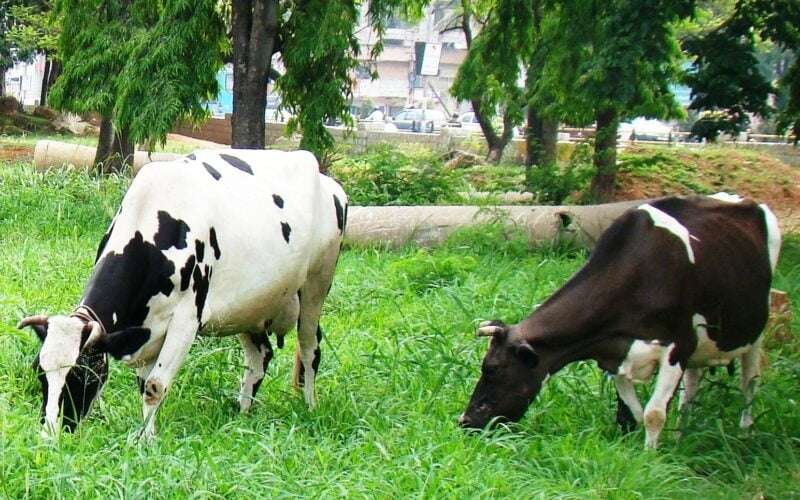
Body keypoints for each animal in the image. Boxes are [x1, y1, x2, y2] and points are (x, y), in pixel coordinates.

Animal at [18, 149, 348, 439]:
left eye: (82, 375)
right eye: (39, 373)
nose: (49, 435)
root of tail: (329, 182)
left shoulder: (187, 320)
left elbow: (154, 386)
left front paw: (145, 440)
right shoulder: (149, 328)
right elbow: (143, 384)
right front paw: (144, 433)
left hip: (317, 284)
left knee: (310, 348)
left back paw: (309, 406)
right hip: (251, 305)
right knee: (260, 356)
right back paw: (244, 413)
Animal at [459, 194, 781, 449]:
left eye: (492, 369)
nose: (466, 421)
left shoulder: (678, 346)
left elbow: (654, 414)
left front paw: (651, 458)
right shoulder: (614, 353)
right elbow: (635, 413)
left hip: (756, 330)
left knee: (750, 381)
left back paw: (745, 433)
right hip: (703, 345)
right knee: (691, 387)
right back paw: (681, 434)